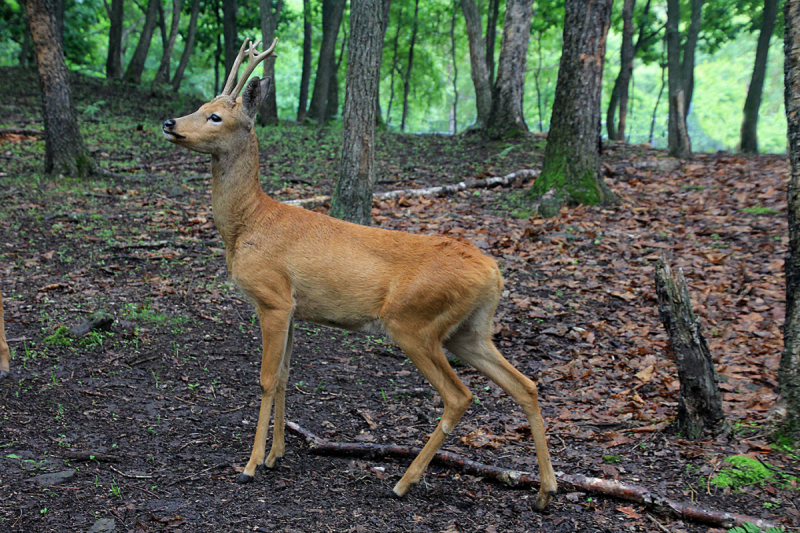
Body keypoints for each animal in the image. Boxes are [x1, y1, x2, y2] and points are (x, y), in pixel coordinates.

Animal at [161, 37, 556, 508]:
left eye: (216, 116)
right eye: (200, 105)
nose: (169, 122)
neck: (249, 223)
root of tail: (494, 271)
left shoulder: (272, 297)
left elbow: (266, 378)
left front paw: (251, 465)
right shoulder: (294, 308)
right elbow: (287, 376)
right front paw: (276, 456)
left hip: (413, 322)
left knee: (460, 396)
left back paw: (404, 481)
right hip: (469, 330)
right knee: (526, 385)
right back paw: (545, 491)